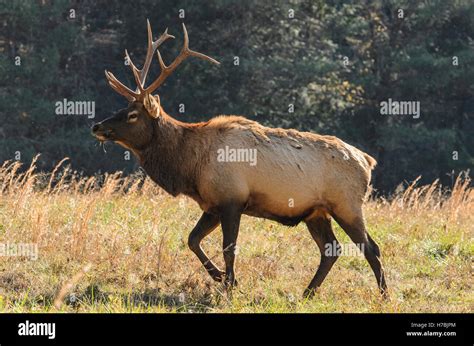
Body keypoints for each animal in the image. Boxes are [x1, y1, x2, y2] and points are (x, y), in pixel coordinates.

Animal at [90, 20, 386, 298]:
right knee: (331, 249)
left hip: (346, 204)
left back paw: (383, 295)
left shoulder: (232, 199)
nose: (97, 126)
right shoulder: (212, 204)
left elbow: (228, 248)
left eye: (132, 115)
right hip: (316, 212)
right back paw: (307, 293)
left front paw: (229, 285)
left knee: (371, 248)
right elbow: (192, 239)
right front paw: (220, 277)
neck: (190, 167)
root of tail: (368, 161)